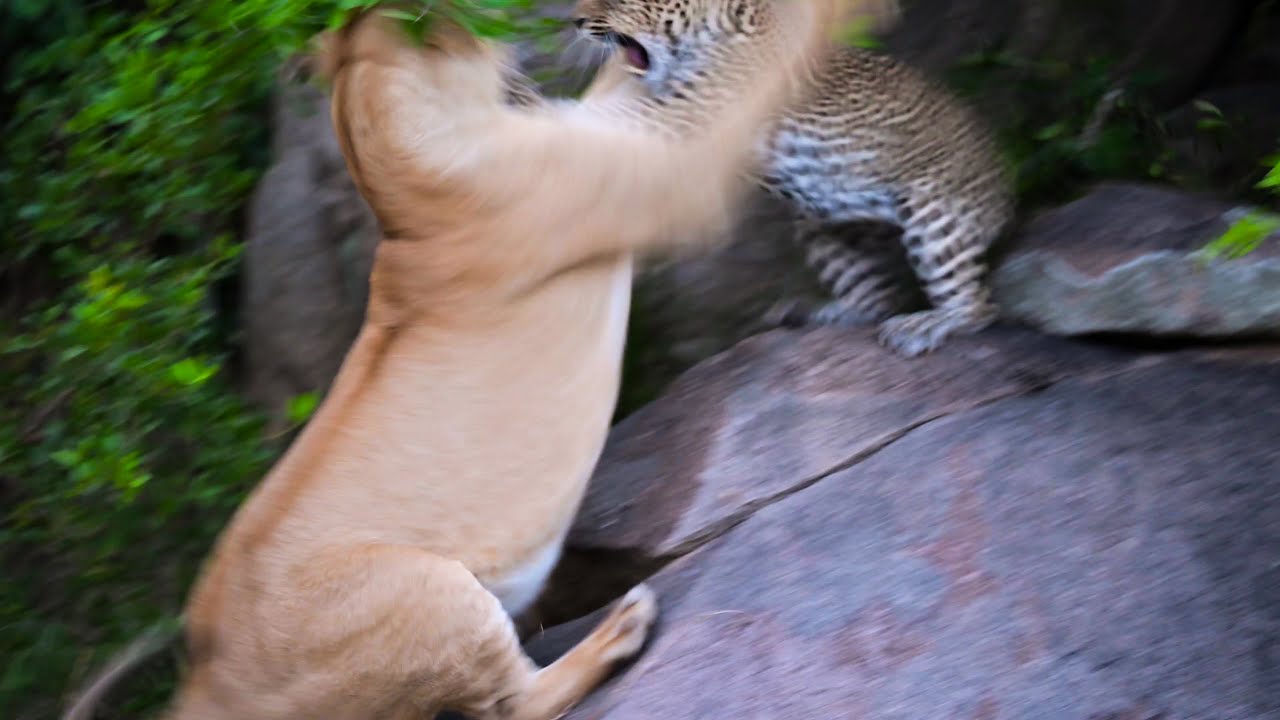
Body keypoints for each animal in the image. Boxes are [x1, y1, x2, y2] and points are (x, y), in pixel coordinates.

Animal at [62, 3, 857, 719]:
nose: (525, 41)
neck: (386, 164)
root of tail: (201, 687)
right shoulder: (665, 174)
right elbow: (765, 60)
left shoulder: (608, 125)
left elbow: (643, 73)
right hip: (432, 592)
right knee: (519, 705)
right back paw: (622, 626)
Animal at [572, 0, 1016, 357]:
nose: (576, 21)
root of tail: (1005, 188)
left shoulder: (690, 111)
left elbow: (608, 124)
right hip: (824, 228)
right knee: (877, 298)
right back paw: (820, 313)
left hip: (935, 216)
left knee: (980, 306)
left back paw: (925, 325)